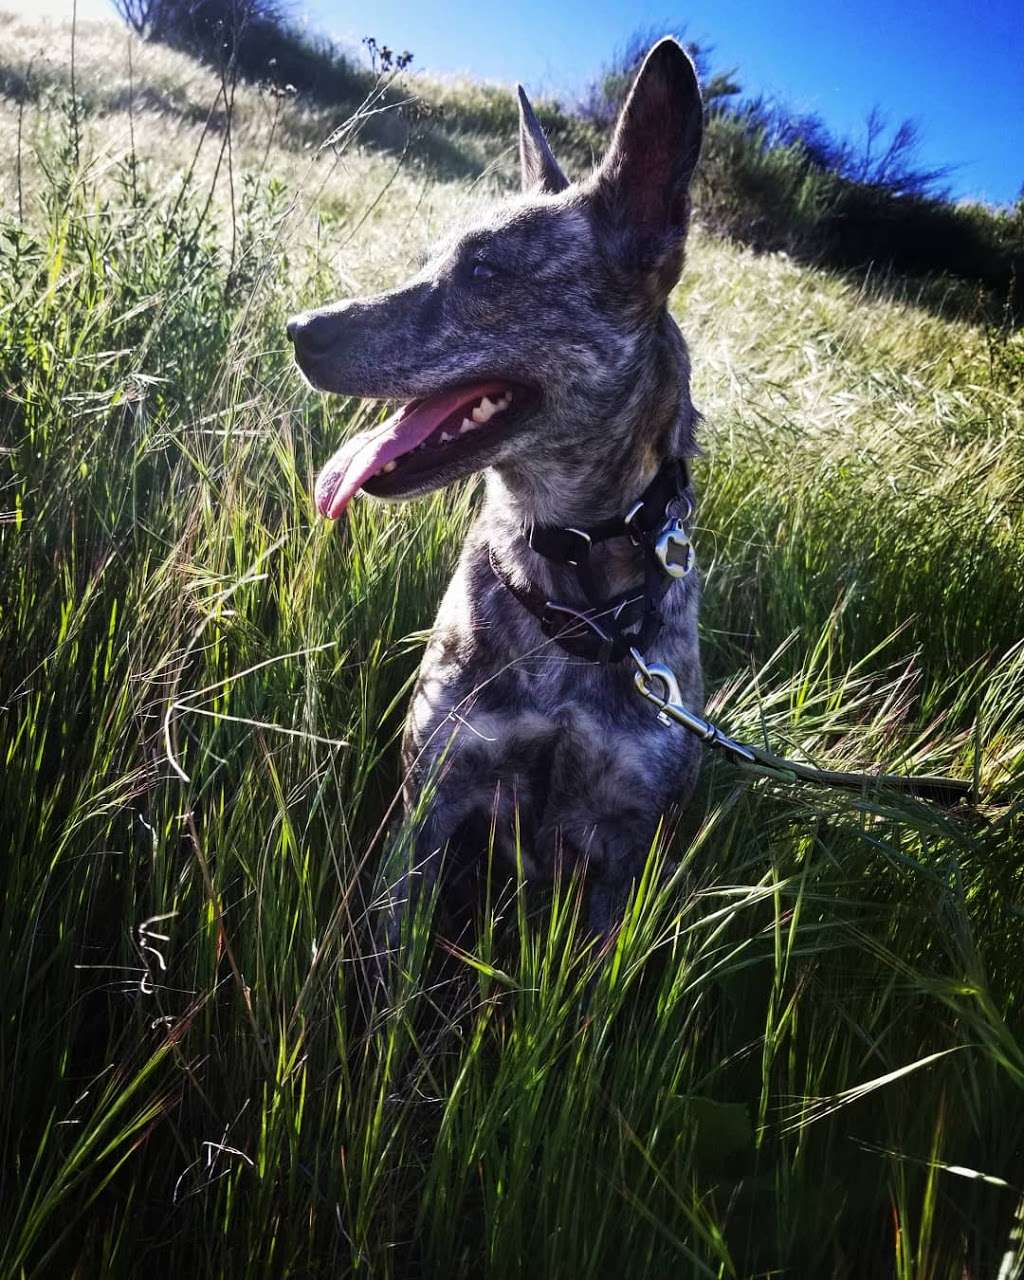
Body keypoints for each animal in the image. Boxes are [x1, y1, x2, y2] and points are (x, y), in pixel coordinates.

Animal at [288, 40, 706, 942]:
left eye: (483, 270)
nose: (299, 329)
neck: (572, 589)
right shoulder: (431, 803)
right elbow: (388, 962)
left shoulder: (622, 852)